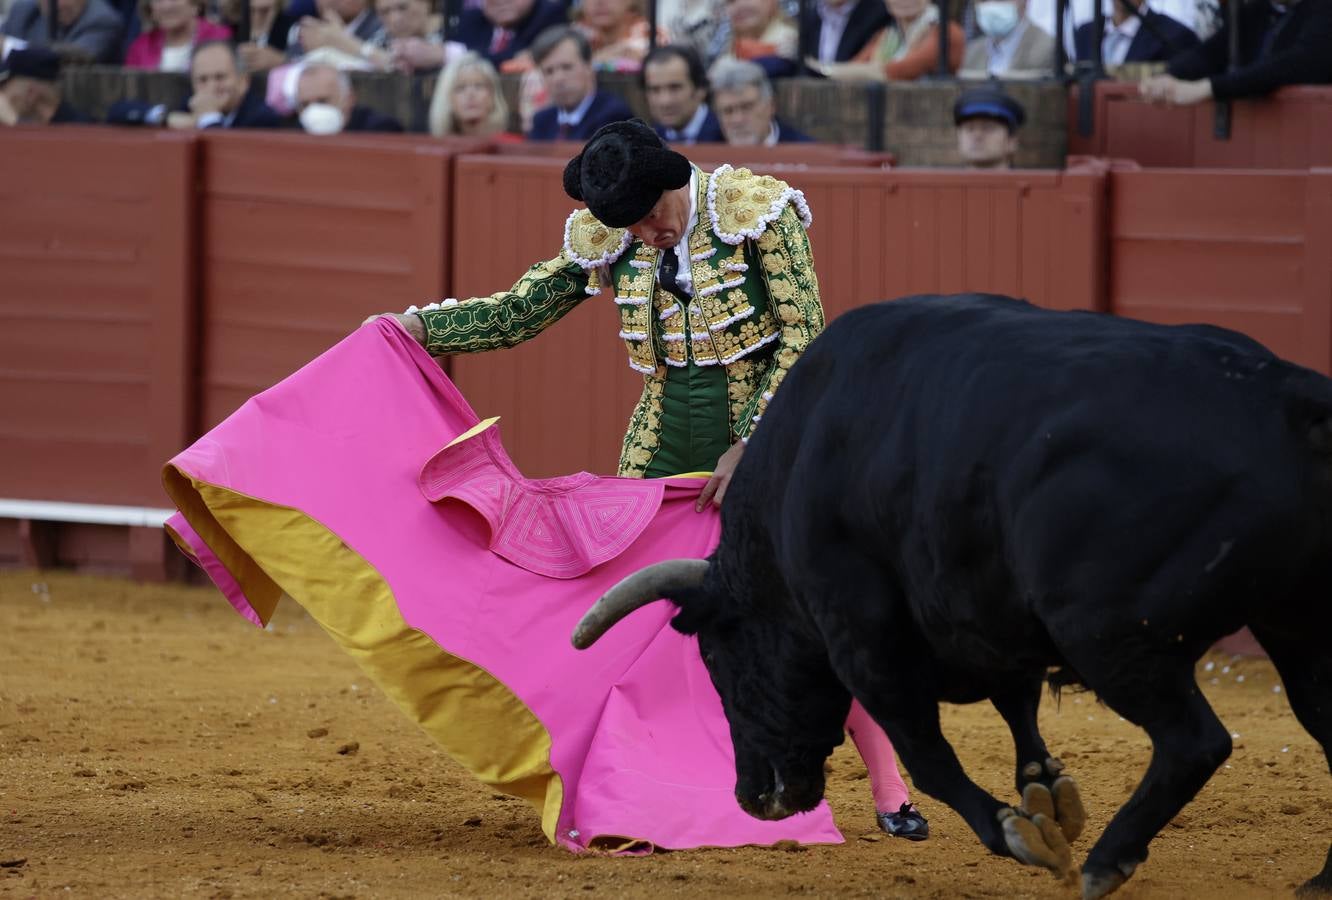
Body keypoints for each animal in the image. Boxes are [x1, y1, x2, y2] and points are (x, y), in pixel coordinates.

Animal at [572, 292, 1332, 894]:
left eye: (721, 663)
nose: (752, 798)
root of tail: (1293, 401)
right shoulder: (986, 617)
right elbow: (1018, 709)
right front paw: (1048, 796)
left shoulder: (864, 642)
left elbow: (929, 755)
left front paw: (1020, 831)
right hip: (1295, 625)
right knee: (1321, 725)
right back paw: (1320, 878)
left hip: (1113, 635)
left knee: (1194, 742)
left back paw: (1104, 863)